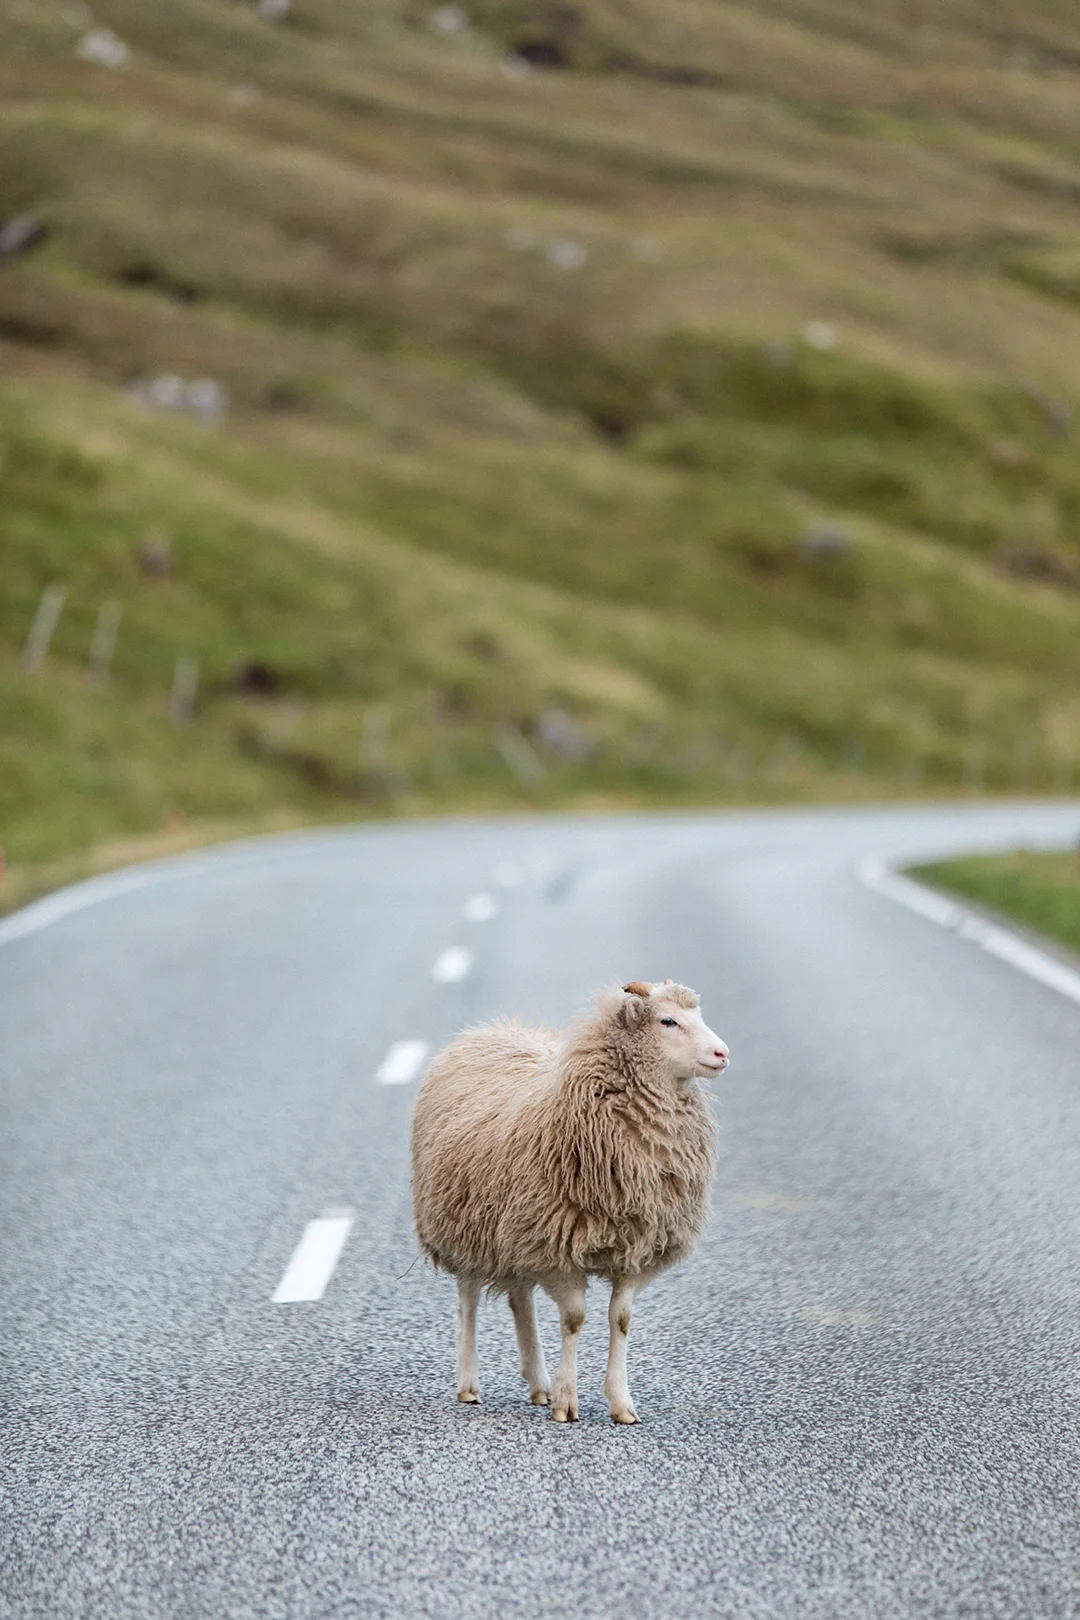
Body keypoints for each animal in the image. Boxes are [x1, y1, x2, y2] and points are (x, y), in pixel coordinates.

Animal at [410, 979, 729, 1424]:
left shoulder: (635, 1245)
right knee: (468, 1300)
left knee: (520, 1298)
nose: (723, 1053)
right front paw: (567, 1400)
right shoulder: (557, 1247)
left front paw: (620, 1403)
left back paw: (538, 1382)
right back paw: (470, 1384)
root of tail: (487, 1030)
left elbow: (621, 1320)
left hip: (513, 1232)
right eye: (668, 1021)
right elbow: (574, 1320)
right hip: (466, 1223)